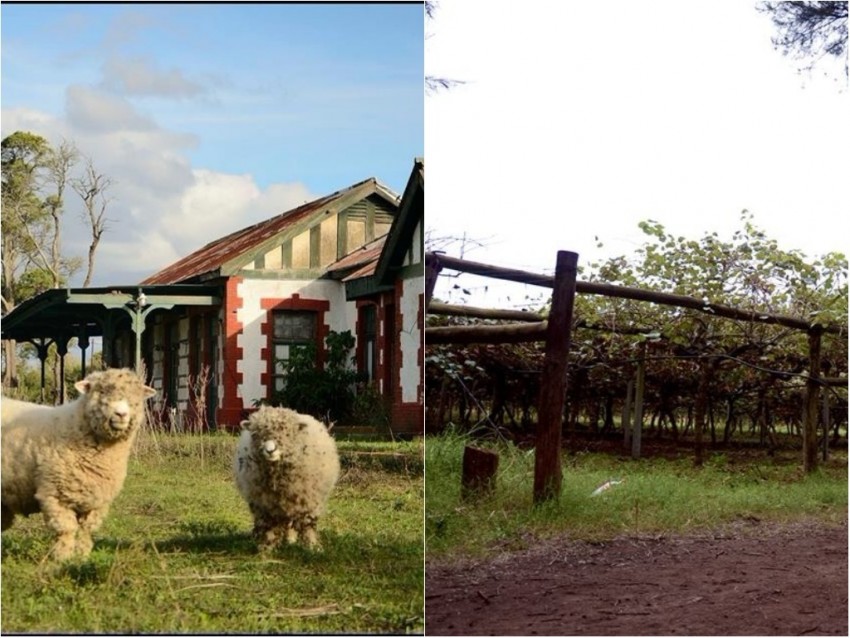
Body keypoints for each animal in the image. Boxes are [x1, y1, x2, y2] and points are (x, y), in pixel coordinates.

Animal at [1, 370, 156, 560]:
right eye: (101, 392)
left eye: (136, 396)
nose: (121, 414)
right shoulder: (57, 494)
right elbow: (66, 530)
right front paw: (63, 558)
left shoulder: (96, 501)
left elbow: (85, 531)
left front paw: (81, 556)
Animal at [234, 408, 340, 552]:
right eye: (256, 434)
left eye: (288, 434)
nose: (270, 450)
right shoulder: (264, 504)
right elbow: (269, 526)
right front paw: (266, 548)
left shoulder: (309, 500)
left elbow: (308, 525)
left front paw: (313, 547)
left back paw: (291, 540)